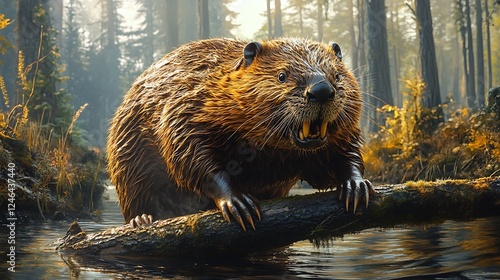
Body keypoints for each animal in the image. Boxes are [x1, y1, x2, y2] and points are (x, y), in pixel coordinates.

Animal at [107, 37, 374, 230]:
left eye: (337, 75)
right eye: (282, 75)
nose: (321, 90)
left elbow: (339, 156)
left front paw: (356, 185)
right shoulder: (187, 103)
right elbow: (188, 152)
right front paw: (238, 203)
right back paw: (142, 220)